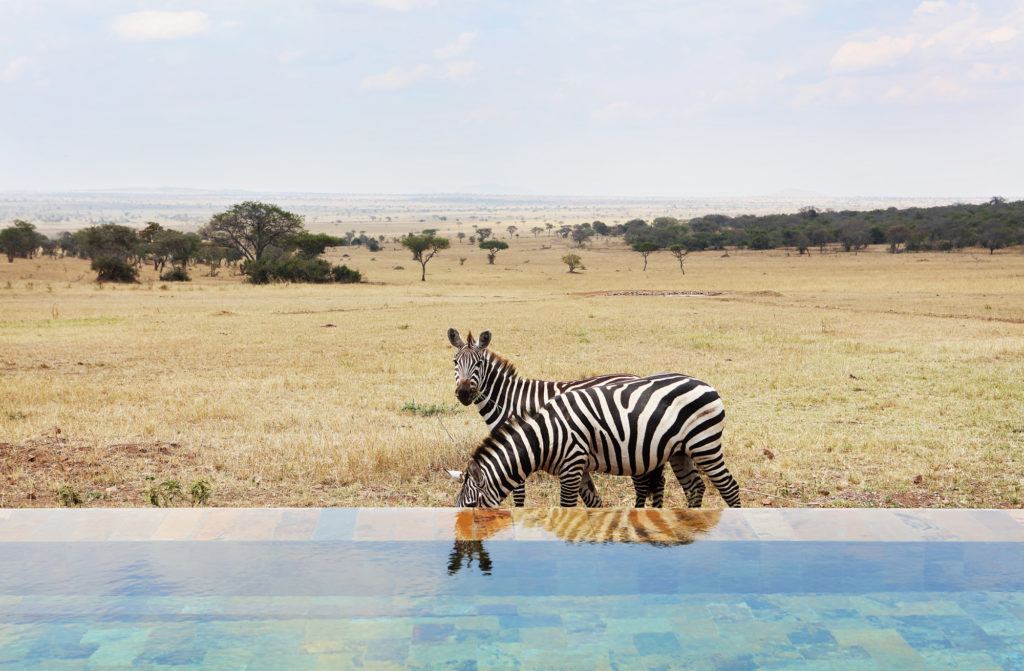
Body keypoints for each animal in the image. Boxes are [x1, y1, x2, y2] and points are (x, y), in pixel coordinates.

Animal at [448, 327, 704, 506]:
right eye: (455, 362)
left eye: (479, 363)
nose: (463, 393)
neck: (509, 399)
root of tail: (637, 377)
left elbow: (518, 495)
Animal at [452, 372, 741, 510]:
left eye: (472, 506)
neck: (546, 437)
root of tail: (705, 384)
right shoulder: (578, 469)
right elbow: (593, 502)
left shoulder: (571, 466)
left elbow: (567, 507)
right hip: (680, 451)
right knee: (694, 487)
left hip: (704, 444)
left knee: (728, 487)